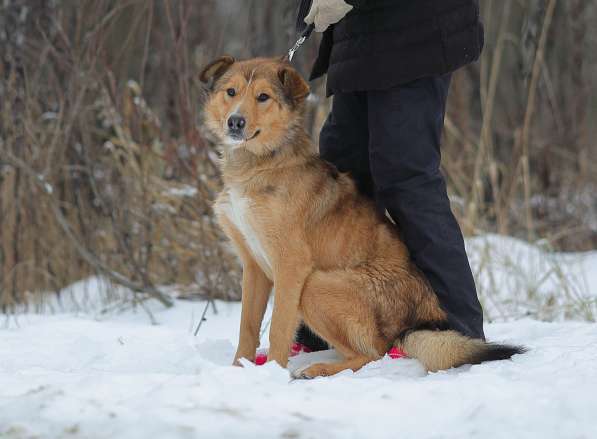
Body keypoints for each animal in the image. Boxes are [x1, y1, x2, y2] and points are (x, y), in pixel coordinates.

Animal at [199, 55, 520, 378]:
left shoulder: (290, 265)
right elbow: (248, 327)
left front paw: (273, 372)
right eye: (231, 92)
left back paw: (318, 369)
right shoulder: (253, 266)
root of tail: (412, 325)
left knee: (371, 353)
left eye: (263, 97)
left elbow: (278, 327)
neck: (260, 163)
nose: (235, 122)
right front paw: (239, 369)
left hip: (316, 285)